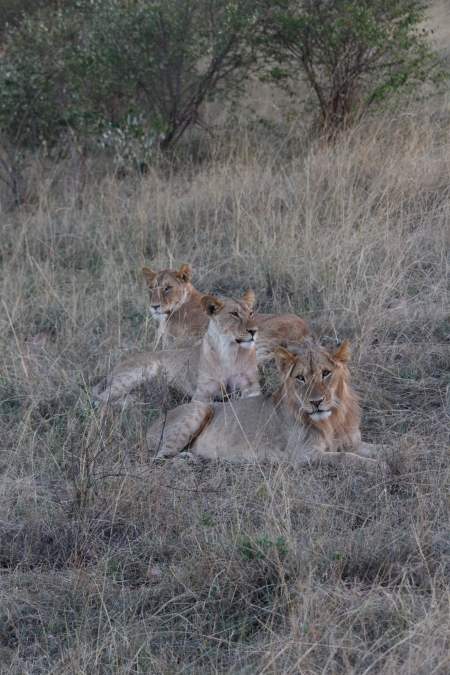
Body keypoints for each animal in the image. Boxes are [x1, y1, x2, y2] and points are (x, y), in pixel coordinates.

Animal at [92, 292, 261, 407]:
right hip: (142, 371)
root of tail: (114, 368)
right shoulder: (201, 394)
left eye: (251, 313)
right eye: (234, 314)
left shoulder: (251, 385)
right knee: (99, 400)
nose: (254, 331)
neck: (230, 350)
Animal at [147, 339, 381, 466]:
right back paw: (189, 461)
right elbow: (346, 458)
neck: (332, 419)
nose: (316, 402)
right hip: (200, 408)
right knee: (156, 460)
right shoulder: (303, 455)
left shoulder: (350, 441)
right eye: (300, 378)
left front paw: (387, 457)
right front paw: (375, 466)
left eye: (326, 373)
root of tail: (152, 424)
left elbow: (379, 448)